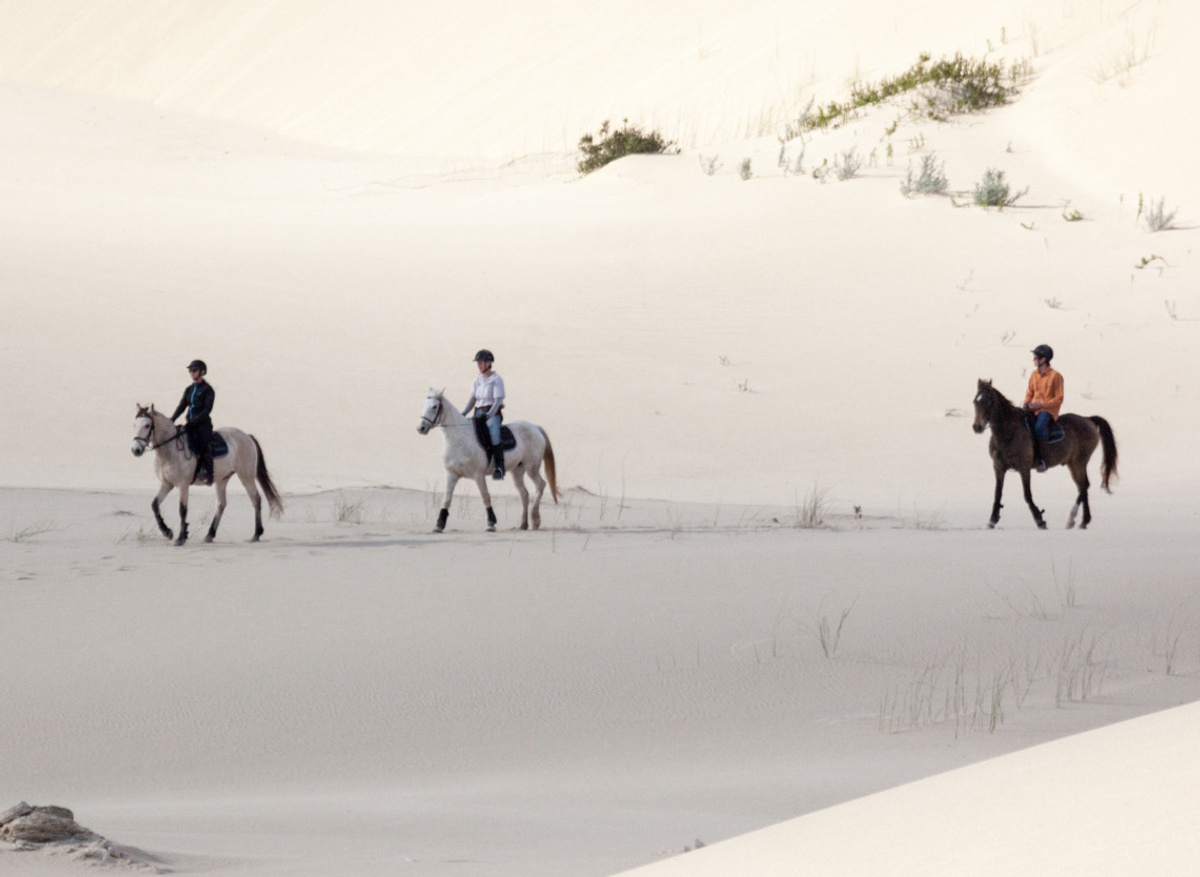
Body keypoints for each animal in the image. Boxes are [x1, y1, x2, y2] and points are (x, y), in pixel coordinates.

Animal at [131, 404, 283, 545]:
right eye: (134, 425)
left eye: (147, 425)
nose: (135, 450)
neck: (170, 450)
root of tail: (247, 436)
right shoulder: (167, 484)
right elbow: (154, 505)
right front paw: (167, 532)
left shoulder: (183, 485)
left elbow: (182, 510)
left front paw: (180, 538)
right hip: (222, 479)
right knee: (221, 504)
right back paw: (209, 535)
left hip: (246, 476)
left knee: (256, 499)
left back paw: (256, 534)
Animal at [417, 388, 559, 532]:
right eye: (423, 405)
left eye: (435, 406)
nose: (421, 428)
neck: (459, 438)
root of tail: (535, 428)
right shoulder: (452, 474)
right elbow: (446, 499)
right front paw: (439, 525)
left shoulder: (478, 475)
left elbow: (485, 496)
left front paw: (491, 523)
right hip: (517, 471)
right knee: (524, 494)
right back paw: (523, 524)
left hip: (532, 468)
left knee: (540, 485)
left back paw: (535, 520)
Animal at [972, 379, 1118, 529]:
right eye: (975, 401)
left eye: (989, 401)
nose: (977, 427)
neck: (1008, 433)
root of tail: (1088, 419)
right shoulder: (999, 467)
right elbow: (997, 494)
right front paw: (992, 520)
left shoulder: (1024, 468)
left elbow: (1027, 495)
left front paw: (1040, 520)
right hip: (1072, 463)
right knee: (1082, 486)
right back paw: (1082, 521)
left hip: (1079, 462)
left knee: (1084, 486)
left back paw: (1074, 519)